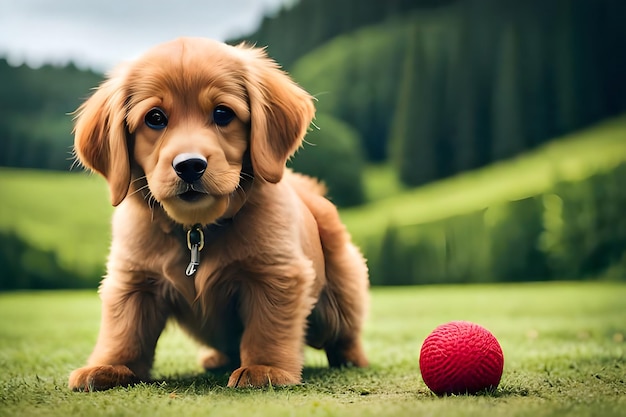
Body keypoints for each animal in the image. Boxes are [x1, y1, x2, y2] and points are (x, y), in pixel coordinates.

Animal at [69, 36, 368, 390]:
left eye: (223, 113)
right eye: (155, 118)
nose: (189, 165)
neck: (196, 229)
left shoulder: (276, 274)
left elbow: (267, 326)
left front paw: (264, 368)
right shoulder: (133, 281)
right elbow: (124, 328)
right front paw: (111, 366)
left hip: (340, 292)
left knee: (343, 332)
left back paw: (351, 359)